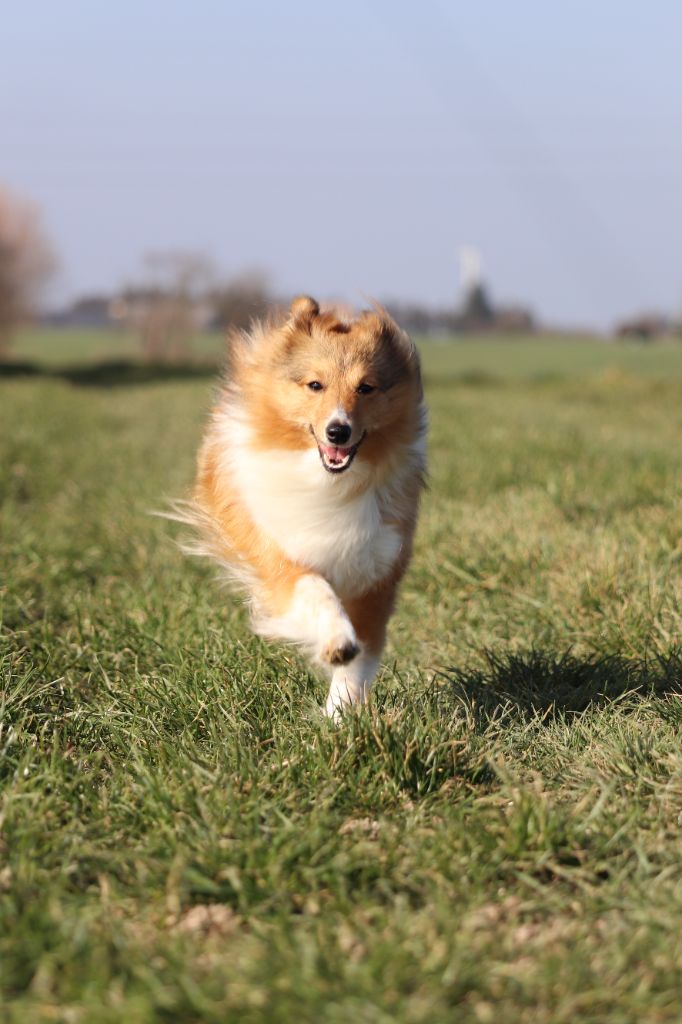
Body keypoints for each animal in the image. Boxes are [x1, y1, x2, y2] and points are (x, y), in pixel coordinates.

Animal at [180, 292, 425, 716]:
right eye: (315, 384)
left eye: (366, 387)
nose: (338, 431)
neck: (330, 482)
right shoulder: (278, 552)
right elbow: (314, 589)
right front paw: (336, 643)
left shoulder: (377, 569)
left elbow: (363, 653)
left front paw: (341, 712)